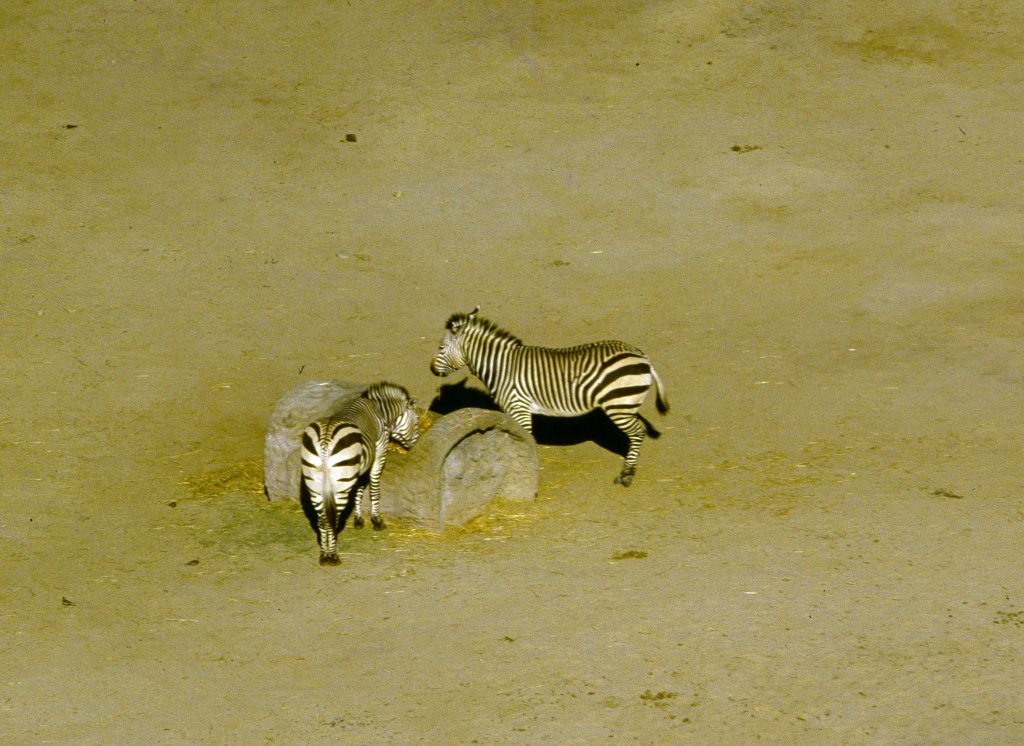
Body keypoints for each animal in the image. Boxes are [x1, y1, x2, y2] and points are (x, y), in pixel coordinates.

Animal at [300, 382, 419, 565]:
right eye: (417, 420)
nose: (415, 442)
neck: (380, 411)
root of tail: (325, 440)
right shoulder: (379, 450)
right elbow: (375, 488)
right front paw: (377, 521)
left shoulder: (359, 466)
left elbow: (359, 489)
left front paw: (358, 519)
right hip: (339, 487)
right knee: (331, 520)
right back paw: (332, 556)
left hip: (316, 484)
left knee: (322, 519)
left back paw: (324, 555)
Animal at [430, 307, 668, 486]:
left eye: (441, 347)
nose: (432, 369)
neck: (501, 367)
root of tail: (641, 355)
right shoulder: (514, 411)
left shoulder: (520, 407)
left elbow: (527, 439)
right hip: (624, 405)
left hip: (619, 405)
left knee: (638, 433)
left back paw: (627, 475)